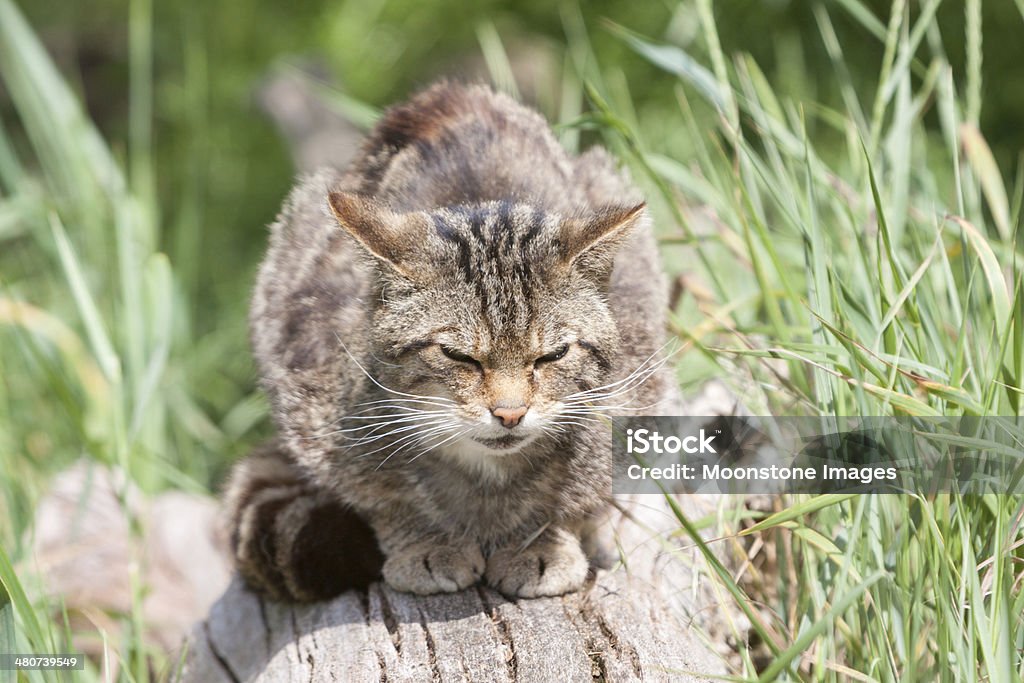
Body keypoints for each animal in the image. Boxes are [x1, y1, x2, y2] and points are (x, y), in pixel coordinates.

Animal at [226, 82, 679, 602]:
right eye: (458, 356)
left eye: (553, 355)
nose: (510, 414)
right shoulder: (312, 397)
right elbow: (388, 498)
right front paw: (426, 543)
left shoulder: (636, 395)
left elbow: (577, 495)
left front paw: (544, 543)